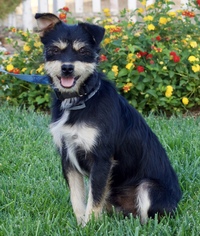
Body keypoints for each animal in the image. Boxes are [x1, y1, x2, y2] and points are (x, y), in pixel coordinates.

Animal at [35, 12, 182, 225]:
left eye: (83, 51)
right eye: (55, 50)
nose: (67, 68)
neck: (80, 100)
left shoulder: (102, 159)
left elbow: (94, 200)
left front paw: (89, 226)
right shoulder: (67, 157)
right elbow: (77, 198)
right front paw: (79, 224)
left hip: (148, 187)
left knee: (148, 220)